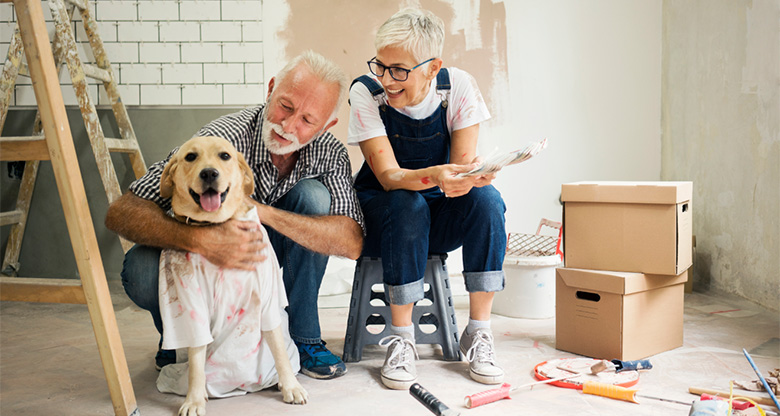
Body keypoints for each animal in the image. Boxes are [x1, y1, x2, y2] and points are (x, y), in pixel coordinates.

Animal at [156, 136, 308, 412]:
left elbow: (279, 350)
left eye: (224, 156)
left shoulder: (267, 297)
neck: (217, 225)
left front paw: (291, 386)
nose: (209, 173)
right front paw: (194, 399)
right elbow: (196, 362)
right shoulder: (190, 301)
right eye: (190, 157)